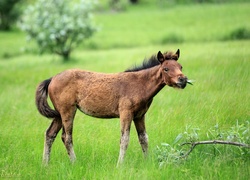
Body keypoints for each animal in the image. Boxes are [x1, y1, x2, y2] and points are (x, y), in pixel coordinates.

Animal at [36, 48, 190, 165]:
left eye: (181, 67)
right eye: (166, 68)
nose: (183, 80)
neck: (139, 85)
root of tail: (52, 79)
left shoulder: (140, 115)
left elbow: (144, 138)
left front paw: (148, 162)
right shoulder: (126, 113)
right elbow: (125, 139)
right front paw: (119, 165)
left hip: (58, 114)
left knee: (50, 134)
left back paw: (45, 165)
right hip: (68, 111)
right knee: (66, 137)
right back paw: (74, 162)